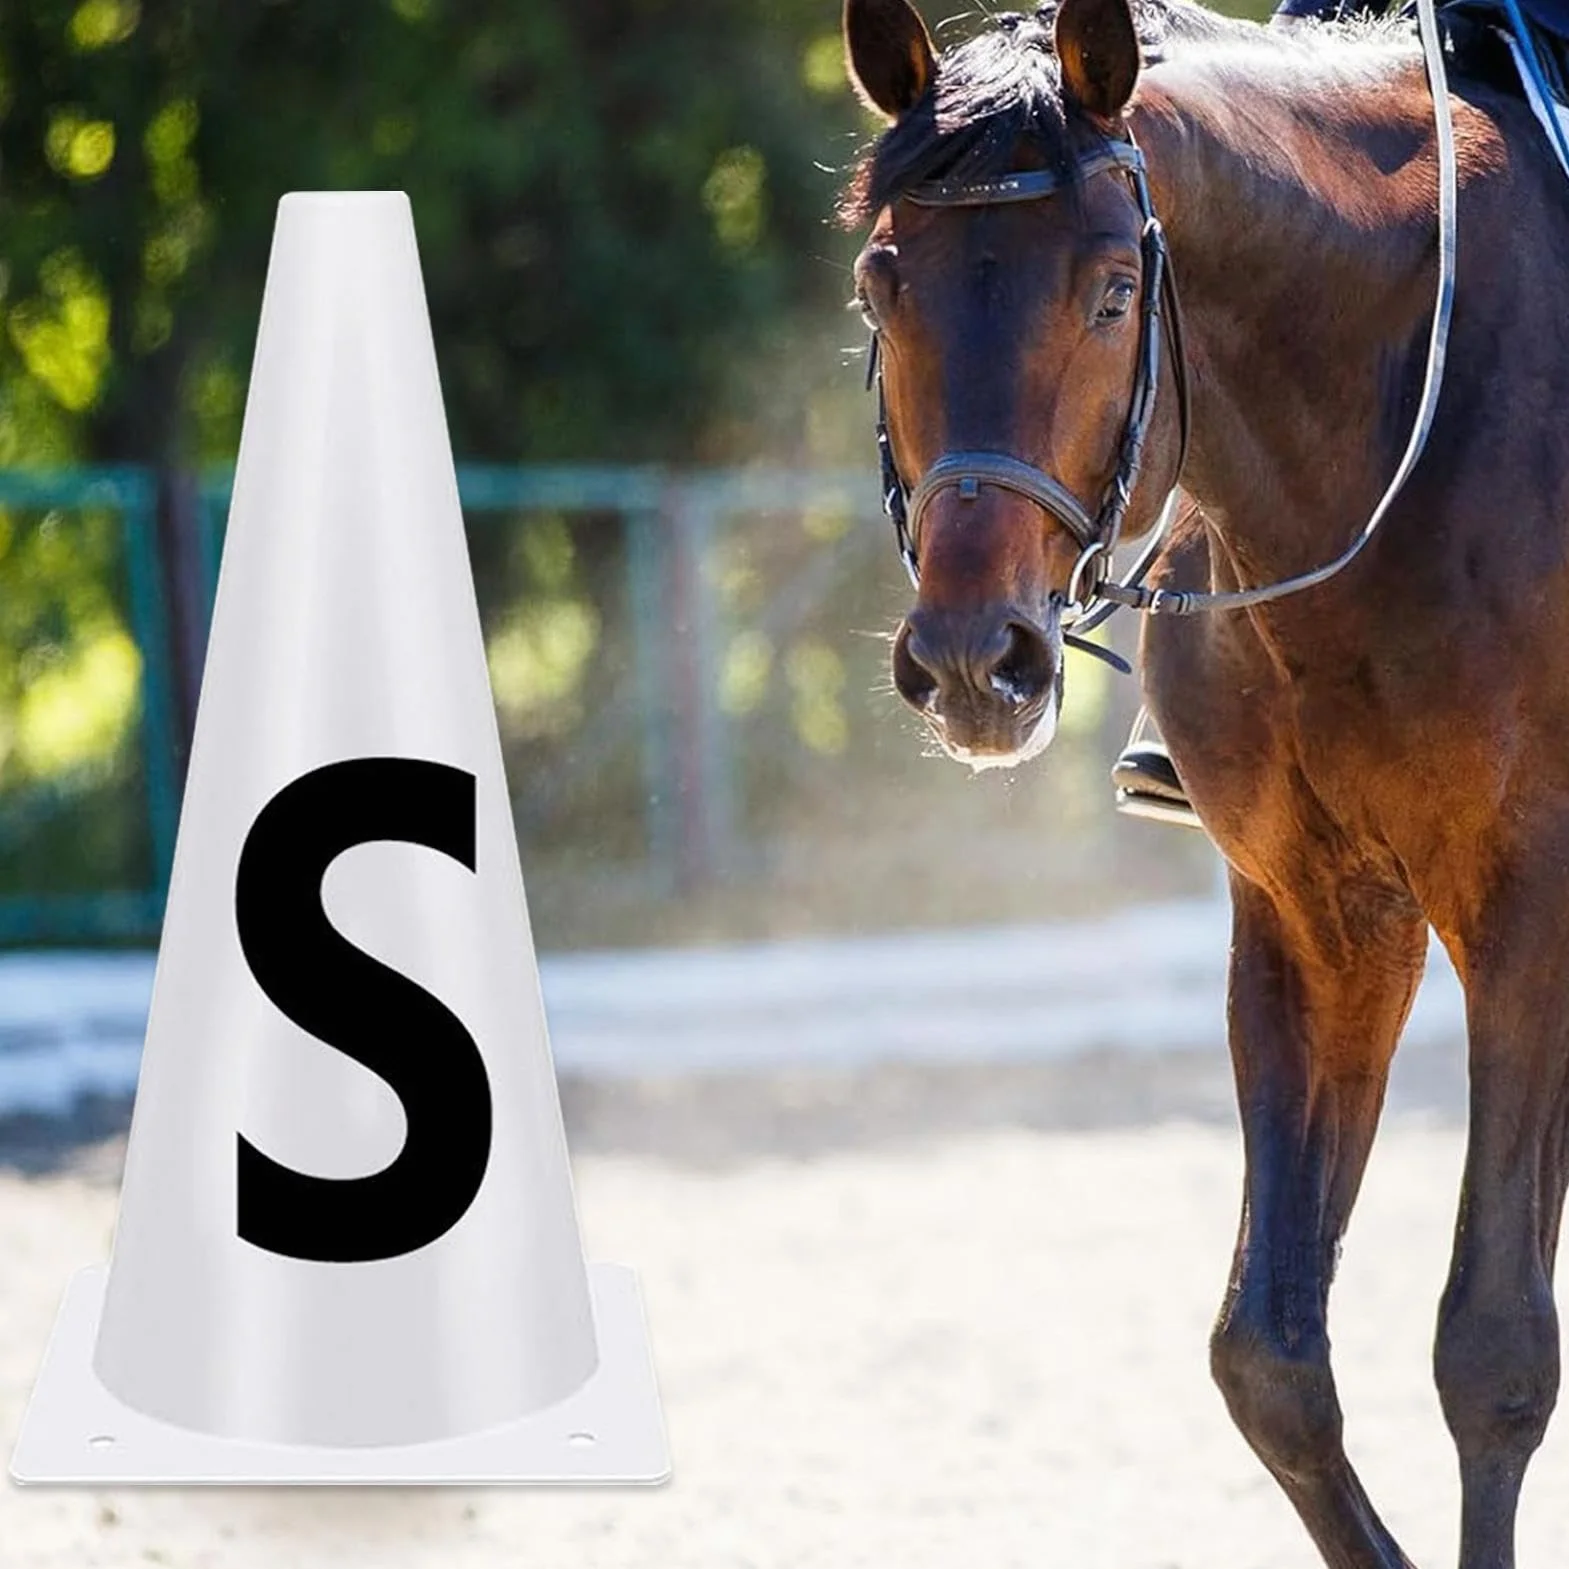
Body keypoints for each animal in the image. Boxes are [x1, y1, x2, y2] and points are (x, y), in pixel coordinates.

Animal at [839, 0, 1569, 1562]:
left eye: (1116, 291)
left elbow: (1492, 1349)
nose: (975, 662)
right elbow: (1270, 1361)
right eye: (880, 287)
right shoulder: (1313, 915)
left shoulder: (1529, 903)